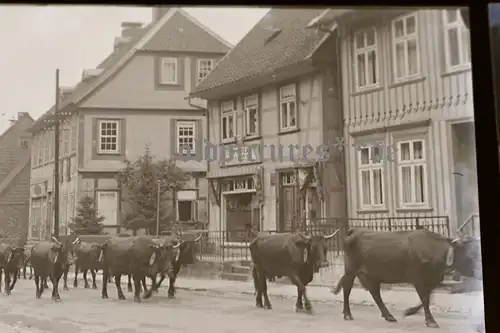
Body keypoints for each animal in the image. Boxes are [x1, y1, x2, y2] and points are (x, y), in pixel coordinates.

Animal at [332, 228, 480, 326]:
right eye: (469, 255)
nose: (477, 273)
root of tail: (355, 231)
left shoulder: (432, 280)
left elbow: (428, 298)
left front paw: (409, 311)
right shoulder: (418, 279)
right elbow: (425, 299)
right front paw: (431, 321)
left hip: (373, 275)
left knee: (375, 294)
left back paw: (389, 316)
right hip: (351, 271)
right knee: (347, 289)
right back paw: (347, 314)